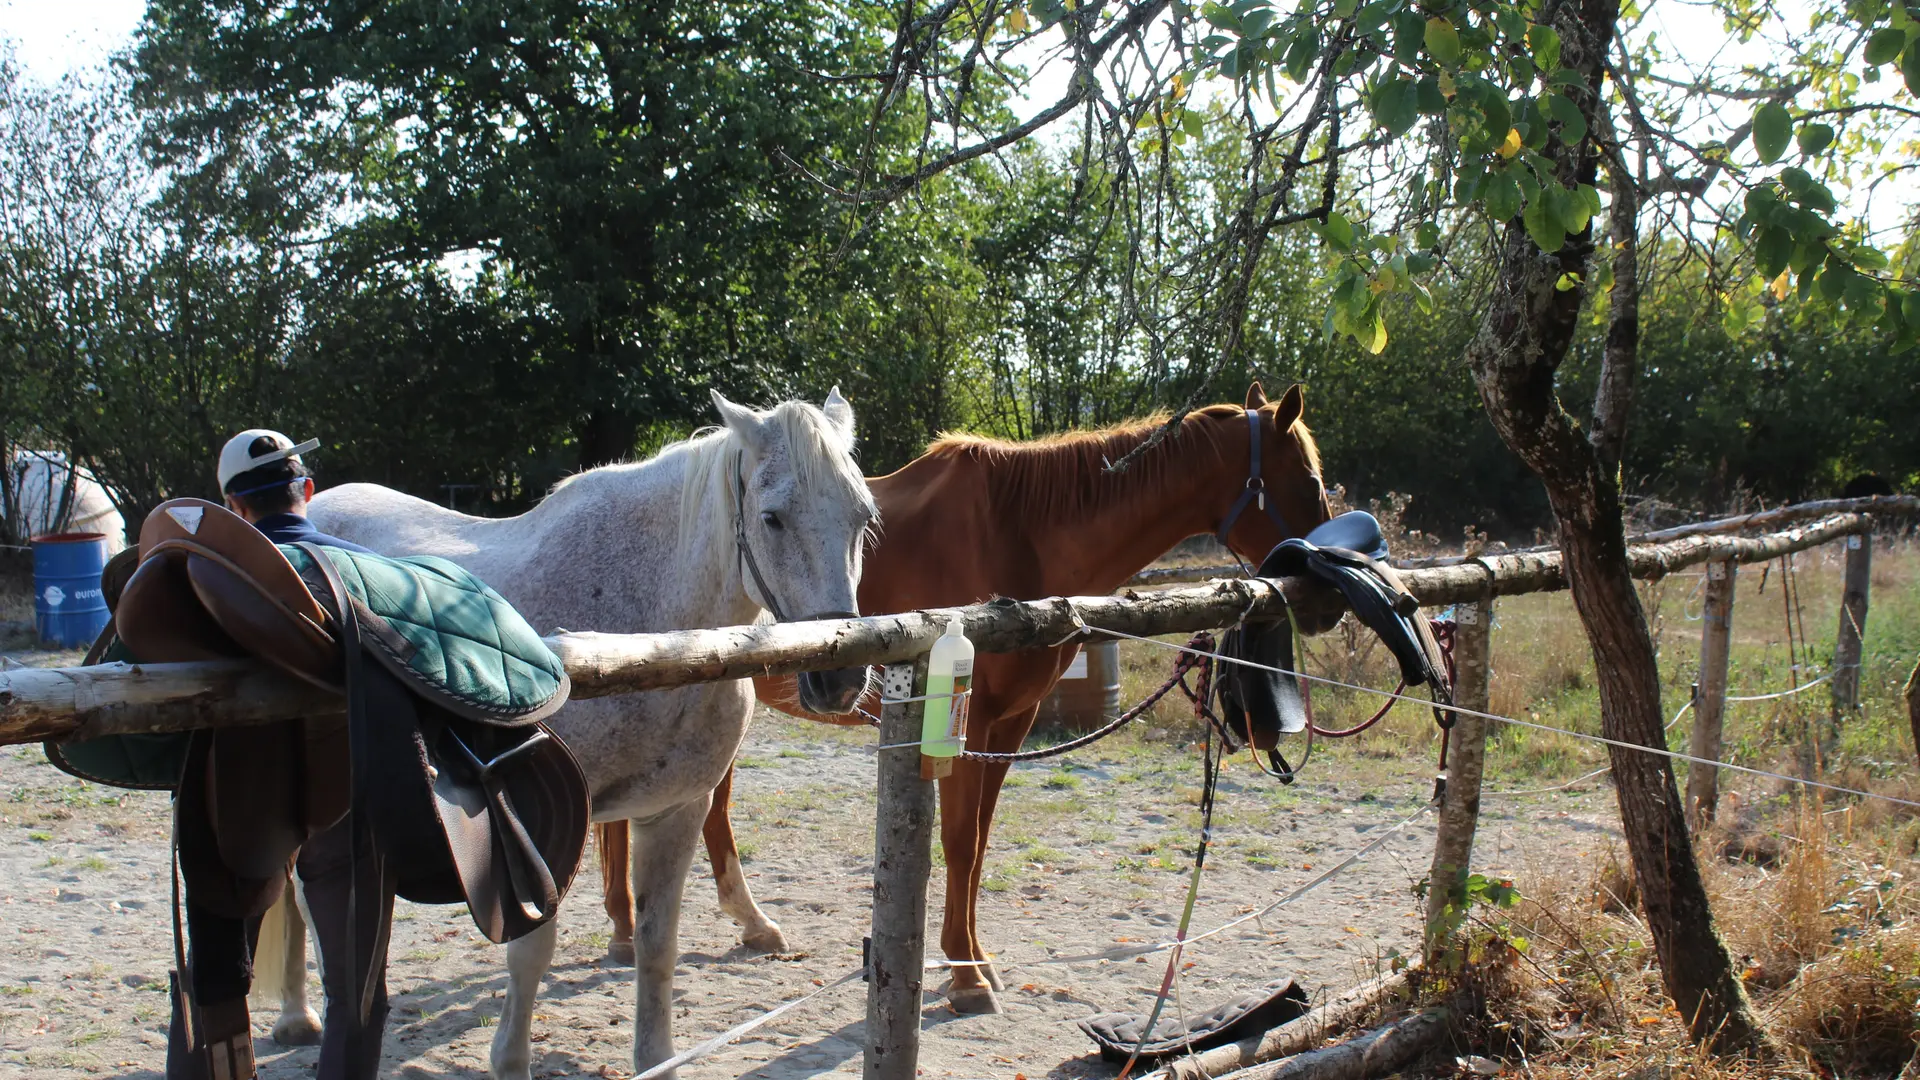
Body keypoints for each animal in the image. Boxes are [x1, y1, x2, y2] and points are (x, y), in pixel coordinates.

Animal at [268, 388, 871, 1076]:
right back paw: (301, 1015)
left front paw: (656, 1055)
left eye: (861, 516)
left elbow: (657, 945)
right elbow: (532, 950)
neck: (658, 645)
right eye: (772, 518)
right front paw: (510, 1060)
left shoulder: (675, 812)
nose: (841, 677)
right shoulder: (536, 819)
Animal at [599, 384, 1336, 1006]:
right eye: (1308, 481)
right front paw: (962, 975)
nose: (1325, 597)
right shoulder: (967, 722)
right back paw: (639, 929)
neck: (1021, 535)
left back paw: (719, 927)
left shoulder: (1009, 727)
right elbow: (956, 842)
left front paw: (976, 958)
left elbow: (978, 844)